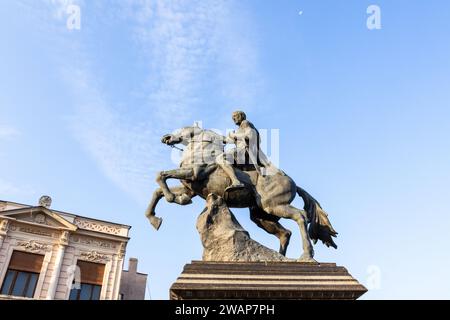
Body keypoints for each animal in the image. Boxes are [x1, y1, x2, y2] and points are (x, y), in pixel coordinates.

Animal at [145, 125, 338, 262]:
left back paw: (306, 256)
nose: (166, 137)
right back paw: (281, 258)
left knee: (301, 216)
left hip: (274, 206)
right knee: (285, 233)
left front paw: (171, 198)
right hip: (262, 215)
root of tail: (293, 183)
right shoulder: (189, 189)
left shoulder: (193, 173)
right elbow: (158, 191)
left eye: (185, 129)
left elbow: (161, 175)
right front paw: (155, 218)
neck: (202, 151)